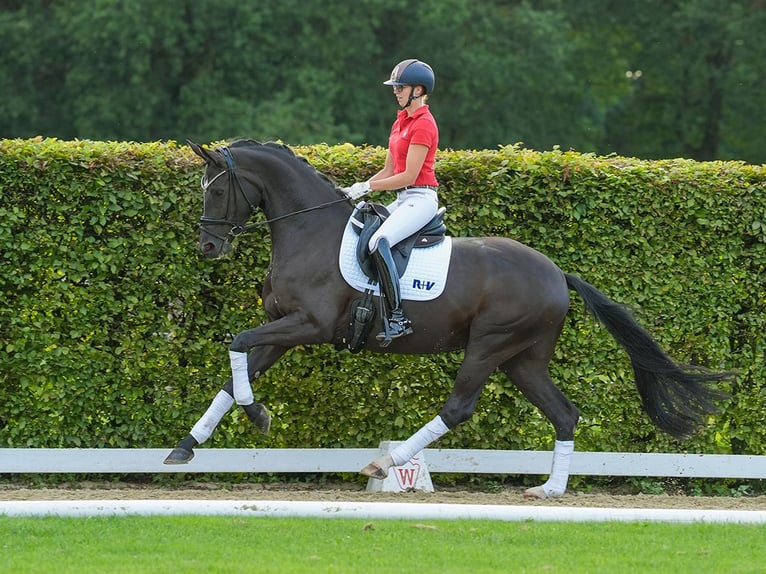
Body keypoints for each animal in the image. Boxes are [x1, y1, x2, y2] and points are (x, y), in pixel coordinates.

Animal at [164, 140, 732, 500]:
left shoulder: (310, 326)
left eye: (217, 190)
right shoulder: (285, 329)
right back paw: (550, 488)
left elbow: (237, 343)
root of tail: (557, 273)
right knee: (564, 414)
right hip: (522, 359)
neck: (308, 231)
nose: (209, 248)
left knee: (458, 407)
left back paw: (386, 463)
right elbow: (234, 368)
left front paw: (257, 415)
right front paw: (187, 447)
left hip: (489, 346)